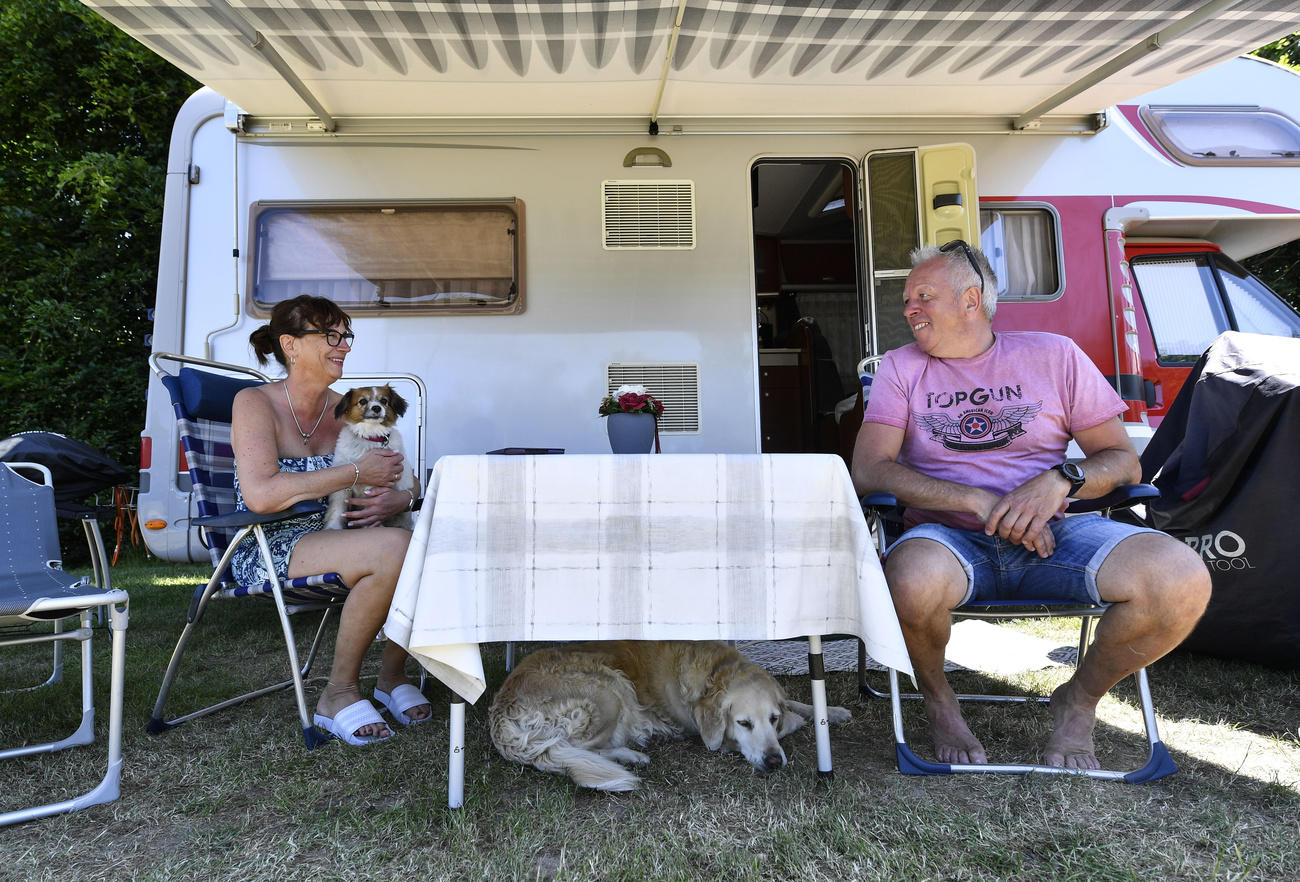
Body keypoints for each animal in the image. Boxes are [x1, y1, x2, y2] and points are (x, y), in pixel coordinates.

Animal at [322, 387, 413, 533]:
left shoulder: (375, 488)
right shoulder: (343, 486)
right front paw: (332, 528)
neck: (369, 437)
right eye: (363, 401)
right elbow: (337, 509)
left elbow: (370, 512)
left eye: (384, 401)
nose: (376, 408)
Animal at [488, 640, 852, 790]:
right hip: (609, 690)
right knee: (581, 748)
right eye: (743, 723)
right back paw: (630, 756)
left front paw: (831, 711)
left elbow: (796, 702)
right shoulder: (711, 738)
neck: (715, 673)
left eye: (771, 719)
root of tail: (502, 711)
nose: (775, 762)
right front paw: (801, 720)